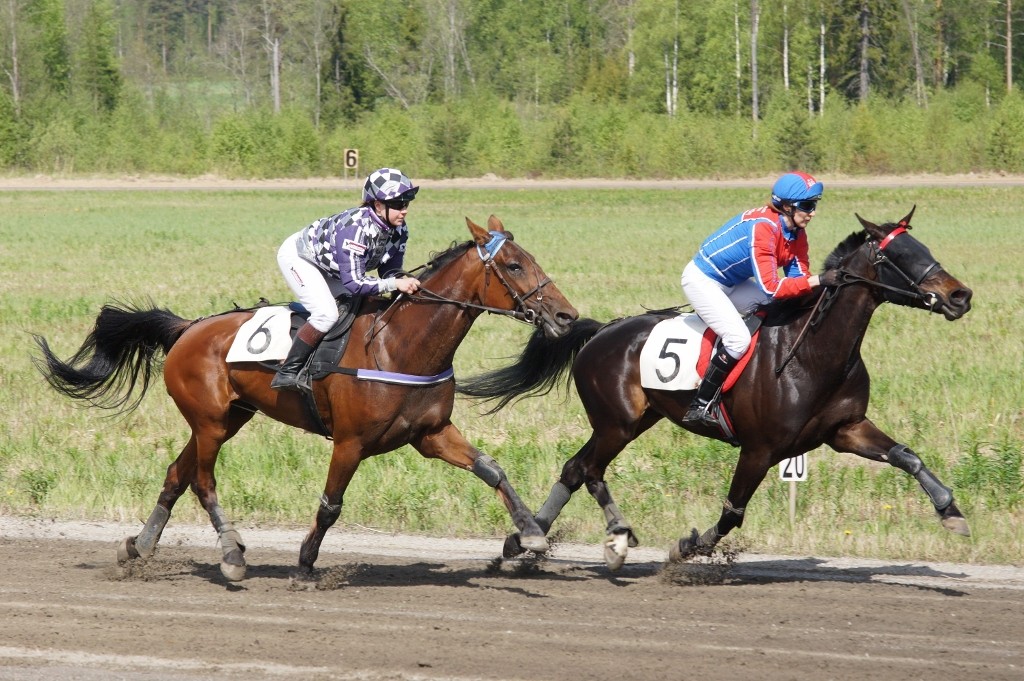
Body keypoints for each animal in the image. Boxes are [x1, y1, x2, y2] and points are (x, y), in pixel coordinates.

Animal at [34, 216, 577, 577]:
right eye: (514, 265)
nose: (567, 317)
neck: (400, 345)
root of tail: (188, 327)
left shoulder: (431, 434)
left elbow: (492, 468)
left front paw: (530, 535)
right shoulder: (351, 442)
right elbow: (331, 504)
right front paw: (305, 560)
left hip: (229, 418)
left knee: (175, 475)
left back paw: (138, 547)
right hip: (210, 421)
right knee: (203, 482)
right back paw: (231, 554)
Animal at [458, 206, 974, 569]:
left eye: (922, 246)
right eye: (897, 256)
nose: (959, 295)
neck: (814, 351)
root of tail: (603, 330)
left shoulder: (845, 429)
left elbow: (907, 456)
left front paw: (951, 510)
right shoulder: (761, 448)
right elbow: (732, 513)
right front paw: (687, 547)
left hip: (633, 421)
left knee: (574, 469)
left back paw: (526, 538)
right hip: (616, 422)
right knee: (587, 470)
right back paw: (601, 538)